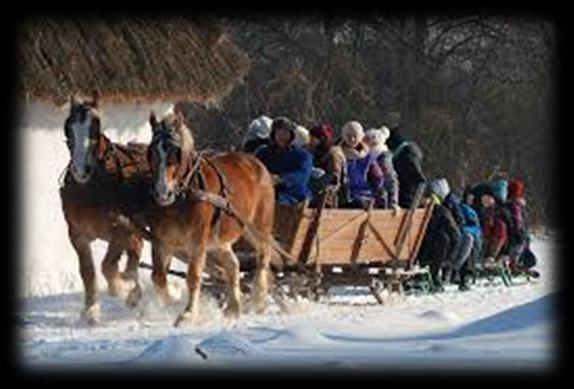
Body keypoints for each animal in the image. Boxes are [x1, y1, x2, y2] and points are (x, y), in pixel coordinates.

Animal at [60, 94, 152, 324]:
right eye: (68, 127)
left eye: (96, 125)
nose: (80, 170)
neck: (91, 186)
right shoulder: (77, 234)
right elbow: (88, 271)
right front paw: (91, 309)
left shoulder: (120, 228)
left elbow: (107, 266)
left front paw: (121, 287)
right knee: (136, 248)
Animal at [147, 110, 276, 326]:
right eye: (151, 152)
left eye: (176, 152)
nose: (162, 193)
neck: (182, 198)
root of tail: (256, 164)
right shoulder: (162, 241)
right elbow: (158, 277)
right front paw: (171, 303)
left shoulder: (197, 241)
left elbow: (193, 276)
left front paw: (188, 314)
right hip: (219, 241)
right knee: (233, 266)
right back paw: (233, 308)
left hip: (258, 228)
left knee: (263, 257)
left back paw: (258, 298)